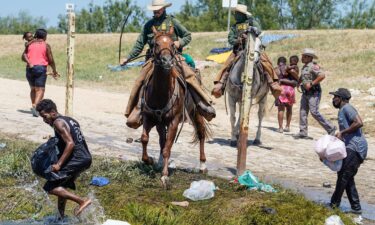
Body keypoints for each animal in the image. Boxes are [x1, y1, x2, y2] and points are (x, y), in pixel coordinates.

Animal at [140, 25, 209, 188]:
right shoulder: (149, 117)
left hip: (195, 112)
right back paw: (159, 162)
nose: (166, 61)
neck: (160, 93)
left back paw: (202, 165)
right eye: (155, 44)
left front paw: (165, 176)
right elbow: (145, 138)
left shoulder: (174, 122)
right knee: (161, 140)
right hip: (160, 123)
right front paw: (149, 160)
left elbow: (168, 148)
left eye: (172, 44)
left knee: (201, 133)